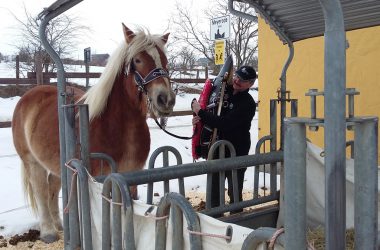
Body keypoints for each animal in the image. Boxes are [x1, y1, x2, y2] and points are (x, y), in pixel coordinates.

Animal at [11, 23, 175, 242]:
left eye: (165, 61)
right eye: (138, 60)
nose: (165, 99)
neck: (117, 127)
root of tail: (28, 96)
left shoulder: (131, 177)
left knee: (52, 189)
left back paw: (60, 225)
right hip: (32, 161)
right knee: (41, 192)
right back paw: (49, 232)